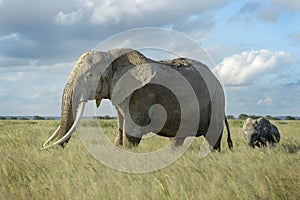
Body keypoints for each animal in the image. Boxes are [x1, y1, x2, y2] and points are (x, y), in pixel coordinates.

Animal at [41, 48, 234, 152]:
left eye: (89, 76)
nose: (44, 148)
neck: (111, 56)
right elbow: (121, 129)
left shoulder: (141, 94)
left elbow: (133, 131)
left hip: (216, 101)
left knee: (213, 138)